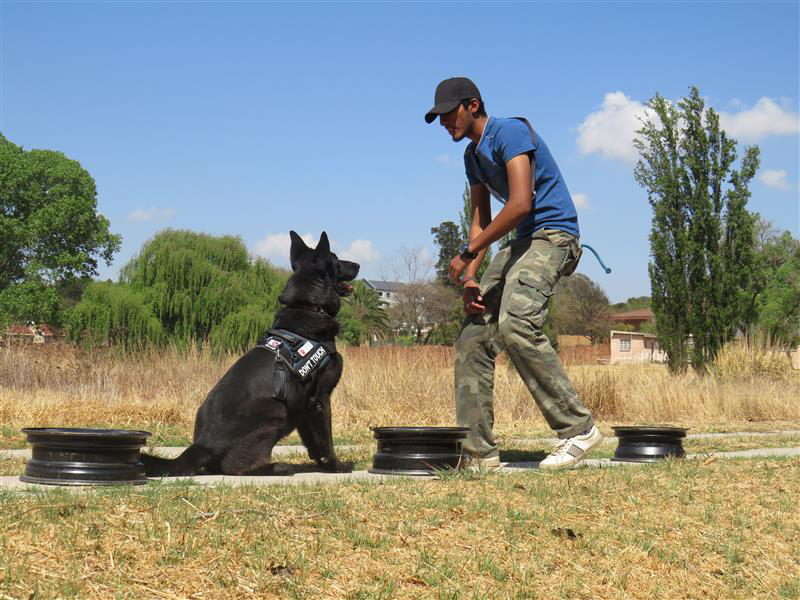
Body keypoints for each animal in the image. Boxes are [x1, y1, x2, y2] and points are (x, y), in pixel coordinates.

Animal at [141, 231, 360, 478]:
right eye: (337, 259)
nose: (358, 265)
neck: (307, 305)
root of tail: (203, 446)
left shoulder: (304, 407)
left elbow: (313, 442)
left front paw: (322, 464)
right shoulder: (320, 399)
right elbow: (325, 440)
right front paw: (336, 466)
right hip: (275, 414)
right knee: (235, 468)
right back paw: (277, 467)